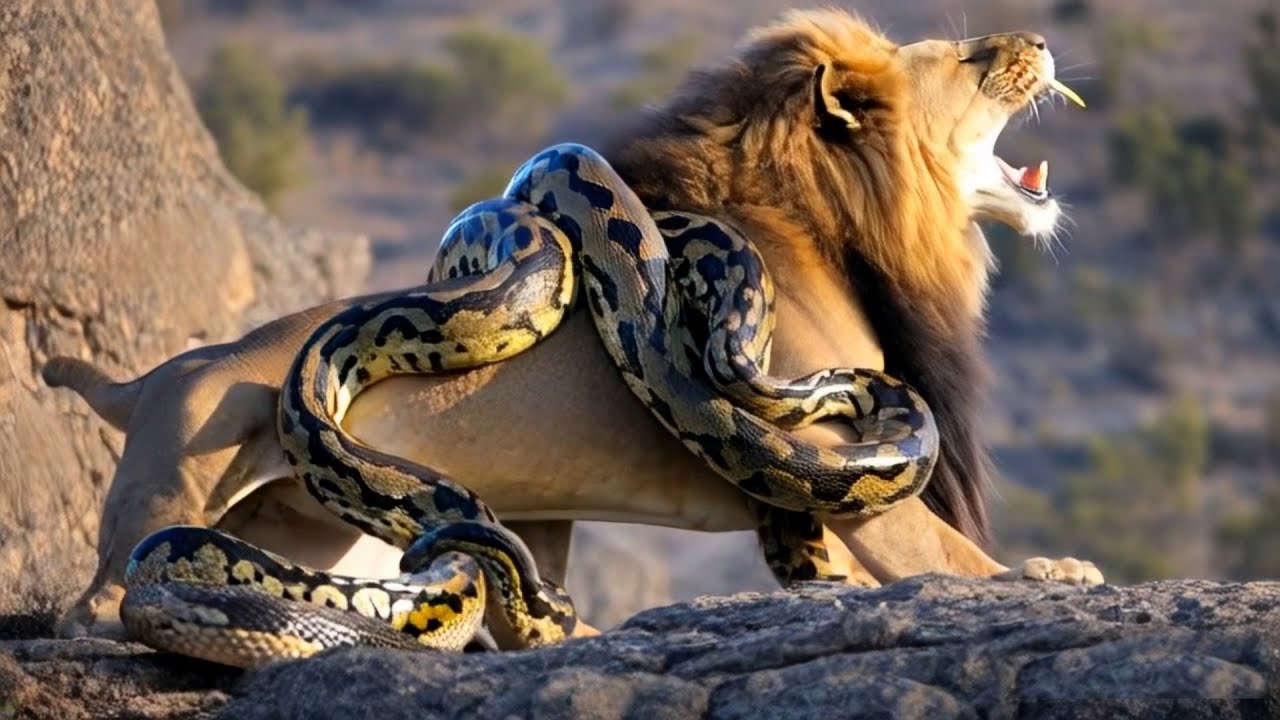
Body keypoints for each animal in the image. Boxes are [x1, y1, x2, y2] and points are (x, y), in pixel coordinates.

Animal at [44, 8, 1100, 641]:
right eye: (966, 57)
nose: (1039, 40)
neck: (820, 234)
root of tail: (153, 376)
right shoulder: (861, 496)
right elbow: (961, 560)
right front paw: (1055, 571)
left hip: (320, 533)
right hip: (171, 494)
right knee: (92, 604)